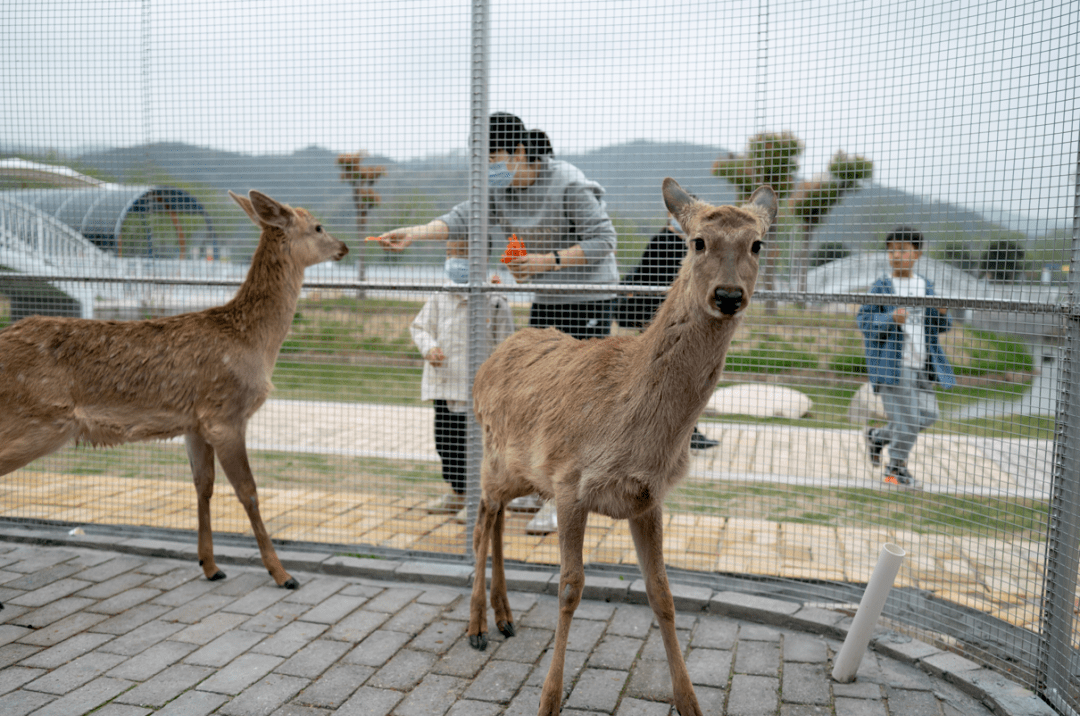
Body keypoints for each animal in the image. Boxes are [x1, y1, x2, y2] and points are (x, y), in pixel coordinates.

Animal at [0, 190, 345, 600]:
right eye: (318, 227)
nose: (343, 247)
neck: (253, 343)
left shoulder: (195, 423)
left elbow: (204, 486)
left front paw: (211, 566)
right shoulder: (226, 413)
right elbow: (248, 491)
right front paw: (282, 574)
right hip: (36, 418)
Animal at [468, 179, 773, 716]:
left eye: (757, 243)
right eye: (697, 241)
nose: (728, 295)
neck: (635, 434)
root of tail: (485, 367)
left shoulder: (647, 498)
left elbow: (663, 593)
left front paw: (691, 703)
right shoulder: (570, 481)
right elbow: (570, 588)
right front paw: (548, 701)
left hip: (520, 470)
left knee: (498, 513)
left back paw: (504, 617)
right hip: (494, 450)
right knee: (483, 516)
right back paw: (477, 626)